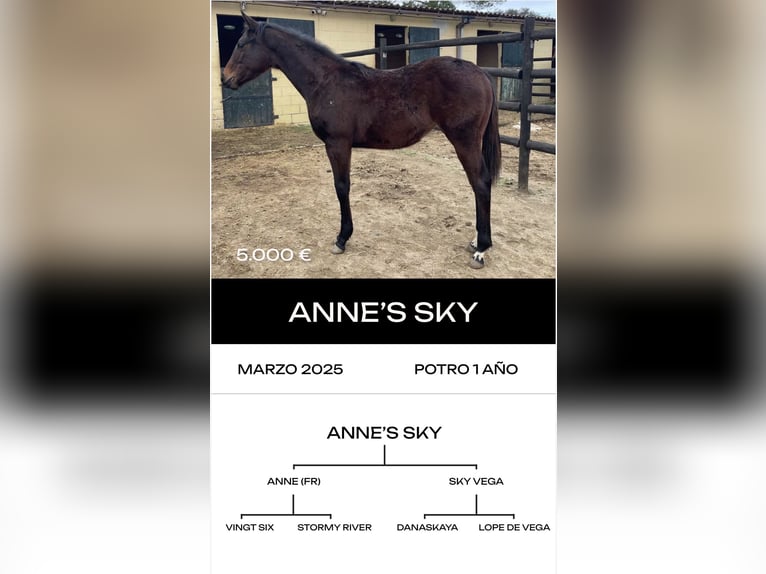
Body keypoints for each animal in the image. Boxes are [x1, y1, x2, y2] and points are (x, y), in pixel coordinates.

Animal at [221, 11, 501, 268]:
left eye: (241, 44)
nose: (225, 79)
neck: (326, 81)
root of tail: (480, 73)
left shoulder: (337, 144)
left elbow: (341, 186)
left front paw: (342, 239)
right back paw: (476, 242)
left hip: (464, 141)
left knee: (480, 183)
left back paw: (481, 249)